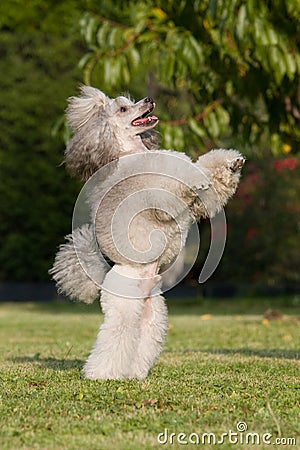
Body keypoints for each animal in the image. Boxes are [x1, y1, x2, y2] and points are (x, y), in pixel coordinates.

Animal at [50, 85, 245, 380]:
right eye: (123, 109)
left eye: (131, 102)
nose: (149, 100)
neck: (130, 152)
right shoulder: (157, 193)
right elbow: (176, 175)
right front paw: (194, 174)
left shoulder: (194, 203)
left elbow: (207, 180)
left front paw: (232, 163)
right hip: (123, 306)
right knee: (115, 337)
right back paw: (101, 374)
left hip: (153, 314)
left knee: (142, 340)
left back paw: (134, 373)